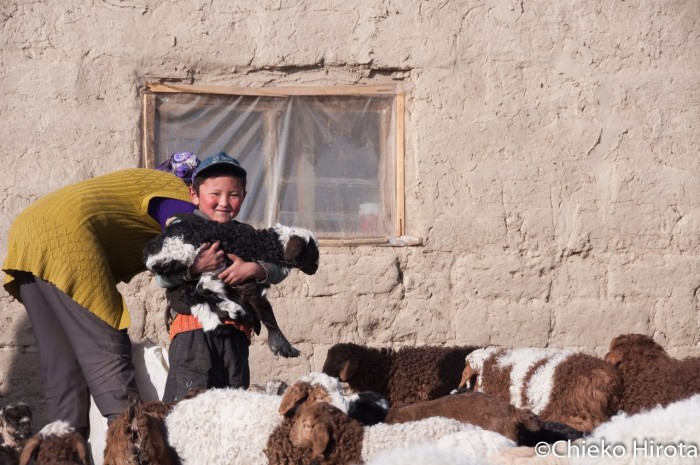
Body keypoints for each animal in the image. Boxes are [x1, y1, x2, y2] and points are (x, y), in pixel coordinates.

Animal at [145, 215, 320, 358]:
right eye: (311, 252)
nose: (315, 269)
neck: (263, 244)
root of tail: (153, 252)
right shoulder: (249, 283)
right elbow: (268, 314)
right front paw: (284, 347)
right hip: (207, 258)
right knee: (203, 288)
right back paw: (236, 311)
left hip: (191, 272)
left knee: (193, 295)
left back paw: (221, 322)